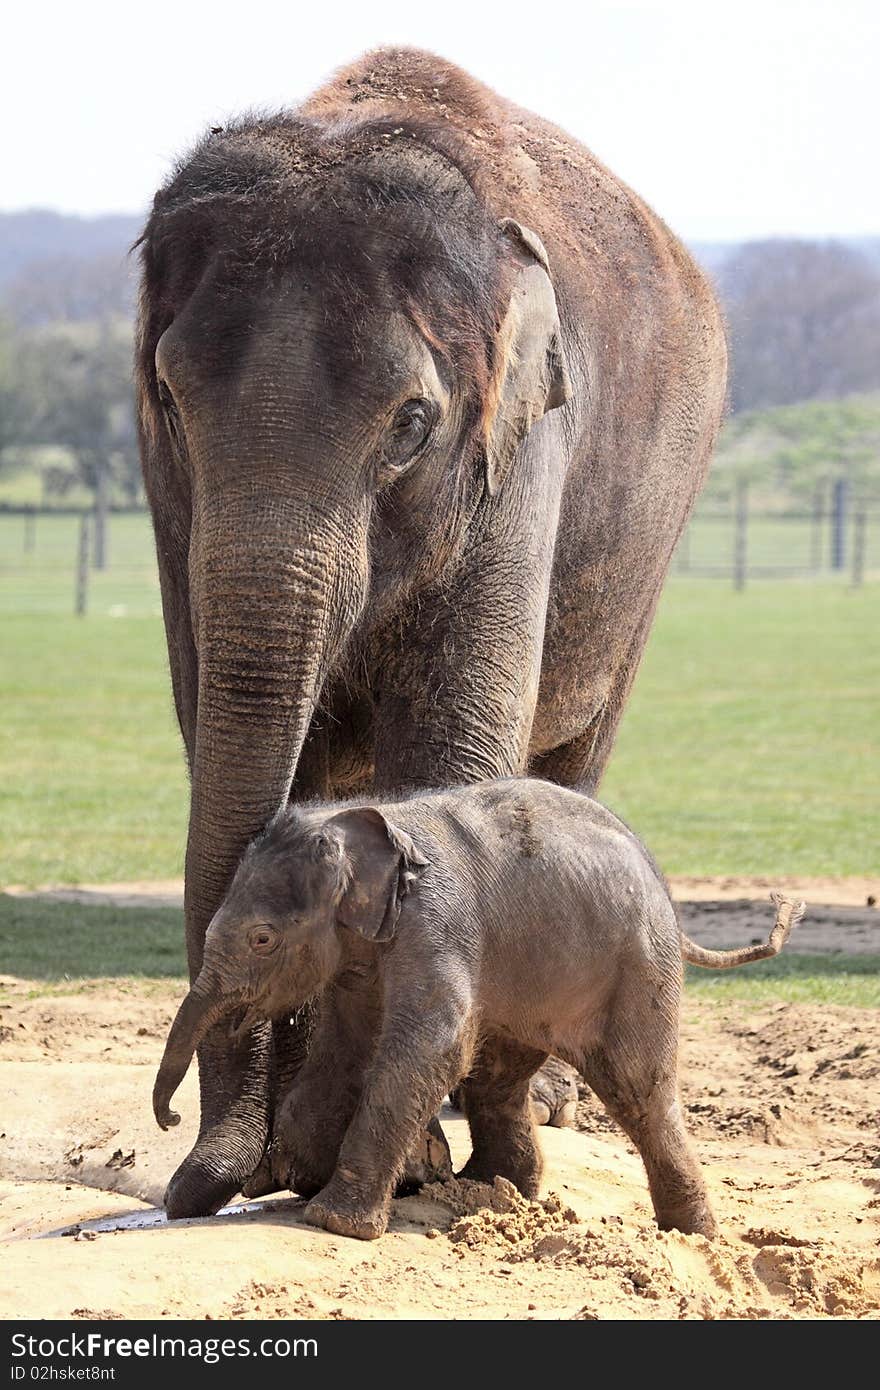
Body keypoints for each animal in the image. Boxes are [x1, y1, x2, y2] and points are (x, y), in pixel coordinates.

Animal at [137, 43, 722, 1217]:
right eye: (170, 399)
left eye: (411, 424)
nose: (192, 1175)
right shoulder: (173, 508)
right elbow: (230, 724)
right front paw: (296, 1160)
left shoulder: (523, 448)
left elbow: (454, 740)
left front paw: (397, 1171)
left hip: (653, 549)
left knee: (577, 756)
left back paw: (543, 1107)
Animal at [152, 778, 800, 1245]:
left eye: (262, 940)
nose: (171, 1118)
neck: (364, 823)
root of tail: (667, 893)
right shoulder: (361, 956)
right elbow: (347, 1049)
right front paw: (300, 1180)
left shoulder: (436, 923)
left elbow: (432, 1046)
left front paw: (332, 1222)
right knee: (499, 1075)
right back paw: (495, 1188)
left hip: (638, 969)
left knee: (640, 1090)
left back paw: (691, 1237)